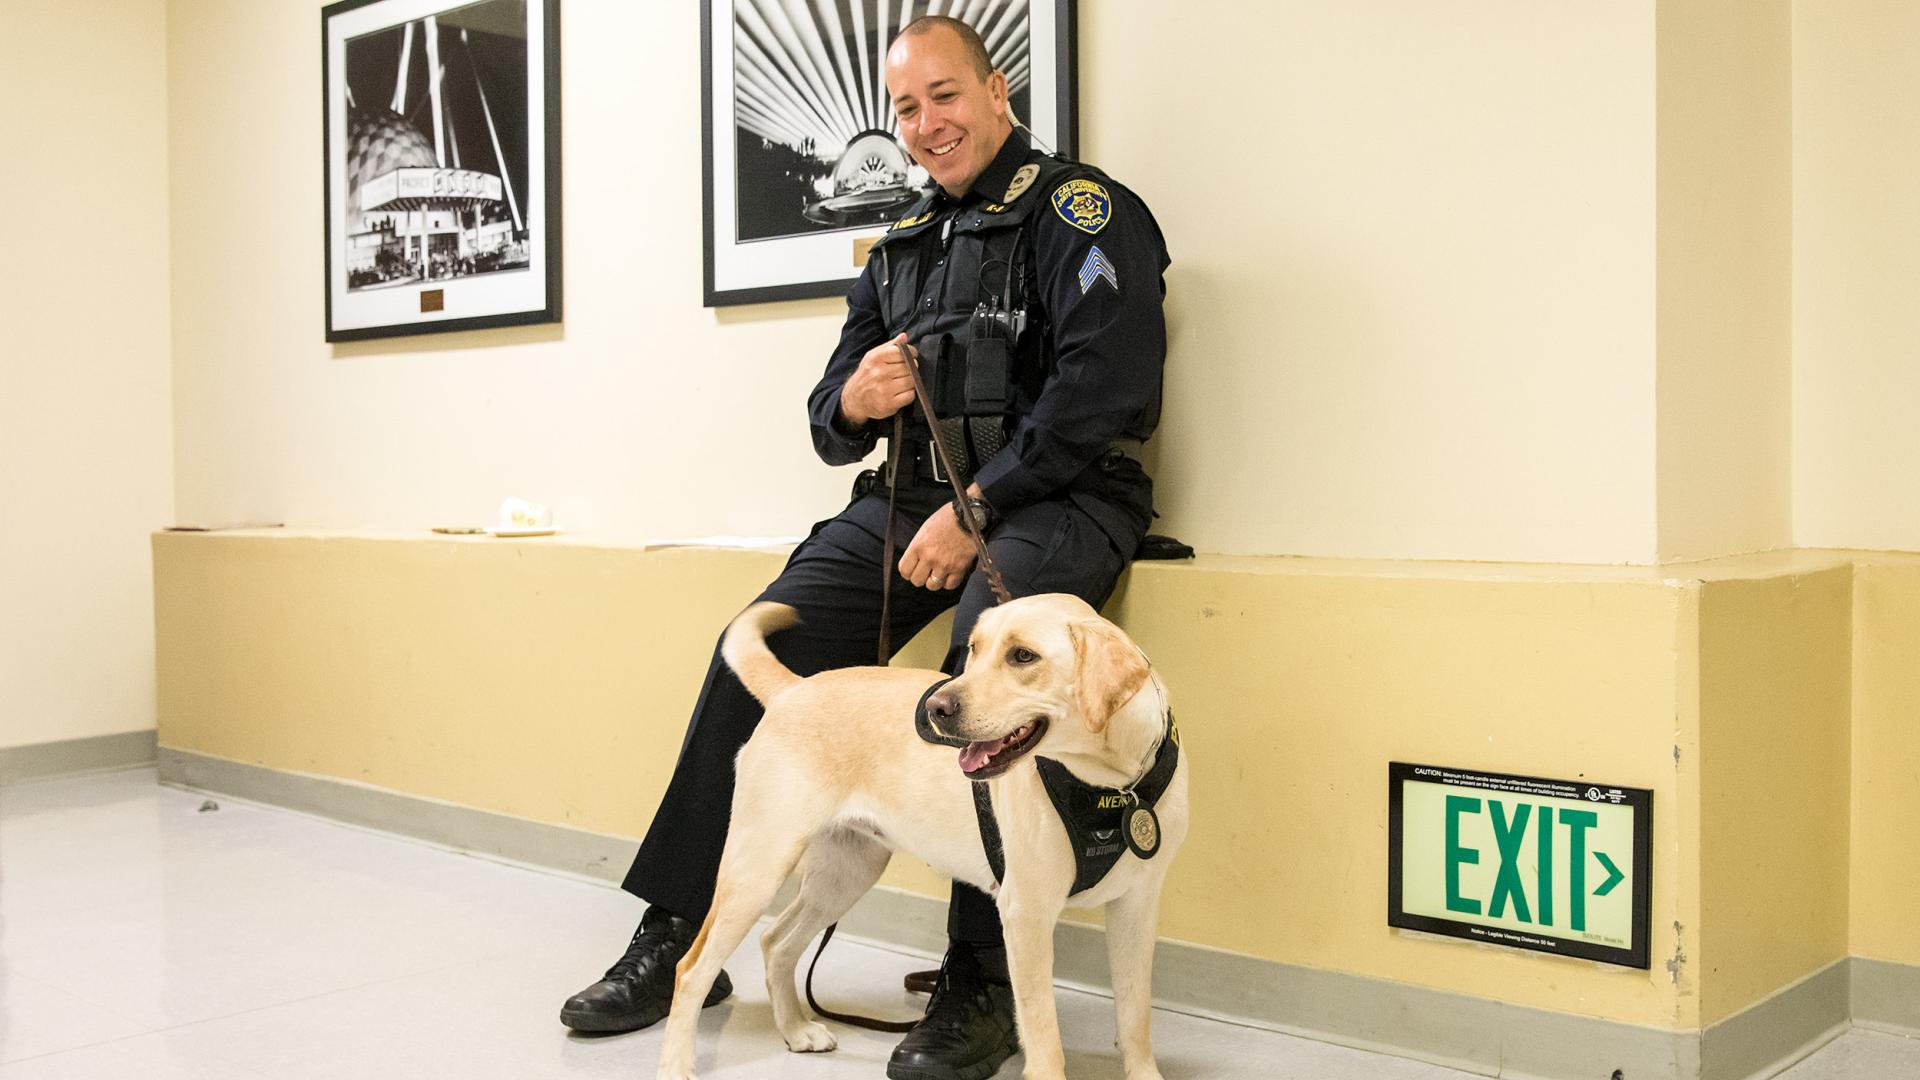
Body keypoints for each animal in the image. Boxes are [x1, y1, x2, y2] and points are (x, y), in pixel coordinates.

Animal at [652, 591, 1182, 1068]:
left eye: (1023, 656)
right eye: (974, 649)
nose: (936, 709)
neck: (1112, 784)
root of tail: (794, 688)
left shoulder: (1137, 908)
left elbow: (1136, 1016)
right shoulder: (1027, 915)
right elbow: (1044, 1037)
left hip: (844, 874)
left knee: (776, 942)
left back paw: (796, 1030)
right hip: (758, 868)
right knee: (692, 970)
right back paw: (678, 1064)